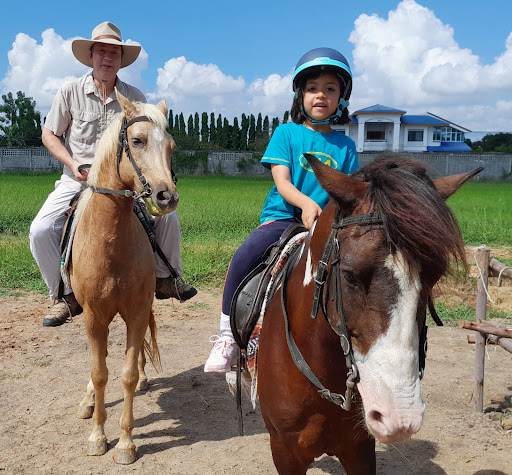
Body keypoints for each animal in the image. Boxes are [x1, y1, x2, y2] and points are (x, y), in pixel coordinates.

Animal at [68, 91, 178, 466]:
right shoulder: (93, 317)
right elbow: (99, 373)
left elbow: (127, 374)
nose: (166, 196)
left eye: (171, 147)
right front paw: (98, 437)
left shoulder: (136, 310)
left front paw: (127, 443)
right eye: (138, 140)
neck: (110, 241)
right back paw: (87, 402)